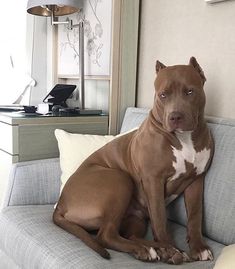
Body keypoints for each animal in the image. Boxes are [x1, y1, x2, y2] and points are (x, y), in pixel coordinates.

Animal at [52, 57, 213, 264]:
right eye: (163, 95)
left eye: (190, 91)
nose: (175, 116)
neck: (183, 139)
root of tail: (61, 203)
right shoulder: (153, 180)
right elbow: (160, 217)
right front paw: (171, 248)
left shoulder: (196, 180)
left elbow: (194, 215)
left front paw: (199, 247)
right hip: (119, 180)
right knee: (106, 235)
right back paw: (159, 249)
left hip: (134, 217)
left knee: (128, 235)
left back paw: (154, 248)